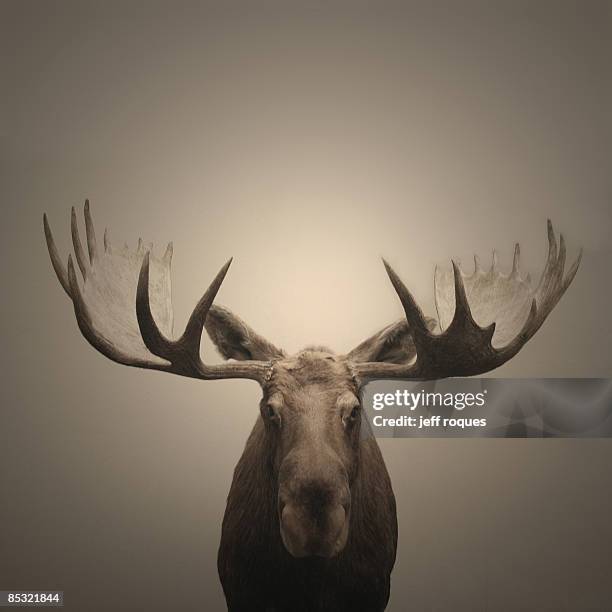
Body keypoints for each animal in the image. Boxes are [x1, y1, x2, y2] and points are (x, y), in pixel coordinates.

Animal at [43, 203, 580, 608]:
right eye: (269, 410)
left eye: (354, 411)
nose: (313, 525)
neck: (309, 586)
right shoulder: (240, 590)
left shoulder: (373, 591)